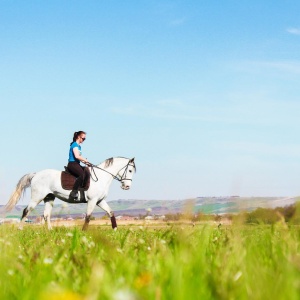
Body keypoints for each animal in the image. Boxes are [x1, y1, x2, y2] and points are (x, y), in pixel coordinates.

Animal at [4, 157, 136, 230]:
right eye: (130, 170)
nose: (127, 186)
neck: (102, 176)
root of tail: (36, 174)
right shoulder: (92, 200)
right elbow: (88, 216)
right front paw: (83, 232)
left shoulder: (100, 201)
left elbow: (111, 213)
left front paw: (115, 229)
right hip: (37, 197)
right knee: (26, 211)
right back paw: (20, 229)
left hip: (49, 198)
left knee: (46, 214)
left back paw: (50, 231)